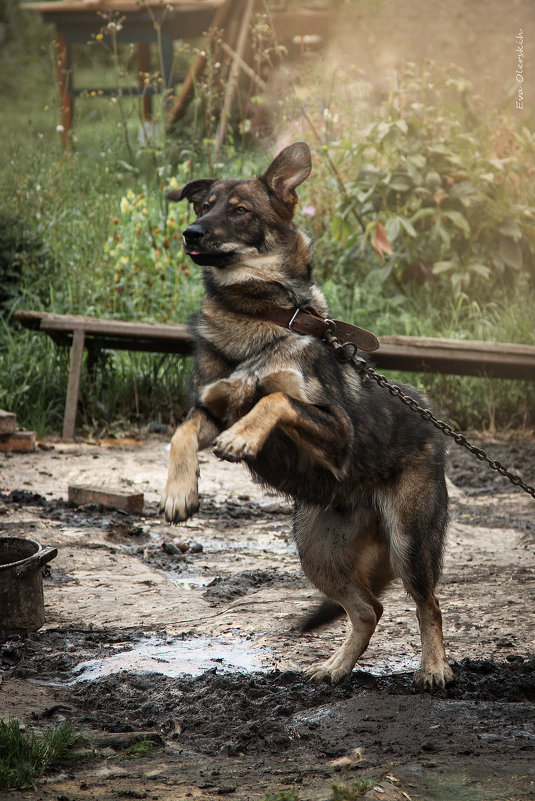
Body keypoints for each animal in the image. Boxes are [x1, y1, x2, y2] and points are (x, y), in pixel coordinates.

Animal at [161, 139, 454, 688]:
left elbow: (276, 399)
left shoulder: (338, 431)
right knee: (368, 610)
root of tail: (430, 421)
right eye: (202, 204)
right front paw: (178, 493)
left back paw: (434, 668)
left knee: (427, 605)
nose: (191, 233)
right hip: (316, 548)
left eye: (239, 210)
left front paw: (242, 438)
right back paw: (335, 667)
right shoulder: (209, 407)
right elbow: (181, 432)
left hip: (410, 540)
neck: (257, 313)